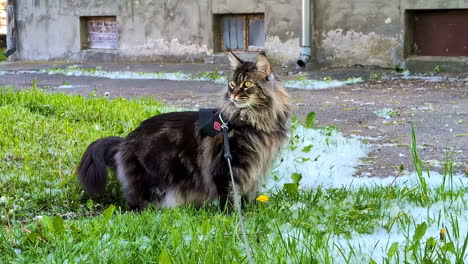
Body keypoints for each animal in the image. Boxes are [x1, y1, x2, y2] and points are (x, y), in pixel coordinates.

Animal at [78, 51, 290, 209]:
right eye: (232, 84)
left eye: (246, 84)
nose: (233, 95)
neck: (256, 121)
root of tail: (125, 141)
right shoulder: (226, 169)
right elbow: (230, 201)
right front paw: (235, 220)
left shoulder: (255, 171)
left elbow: (249, 198)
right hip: (151, 187)